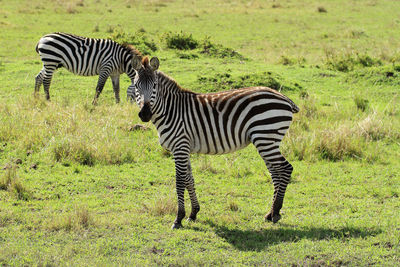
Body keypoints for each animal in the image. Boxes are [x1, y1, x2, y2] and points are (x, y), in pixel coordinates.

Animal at [132, 57, 300, 230]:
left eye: (154, 86)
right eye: (136, 86)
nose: (145, 114)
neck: (171, 111)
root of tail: (283, 97)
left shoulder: (179, 147)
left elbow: (179, 181)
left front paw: (178, 218)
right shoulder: (184, 148)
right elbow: (189, 179)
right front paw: (193, 213)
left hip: (266, 137)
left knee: (286, 168)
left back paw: (276, 212)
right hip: (267, 140)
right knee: (275, 172)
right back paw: (270, 213)